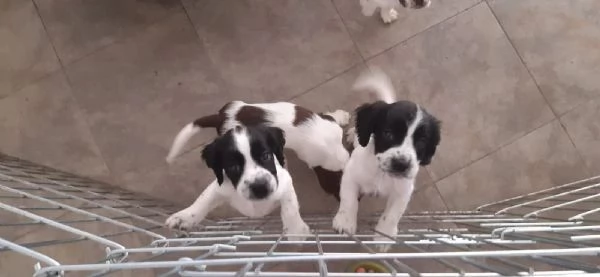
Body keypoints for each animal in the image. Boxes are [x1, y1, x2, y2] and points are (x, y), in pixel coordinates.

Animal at [166, 125, 312, 239]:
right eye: (233, 166)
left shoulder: (285, 182)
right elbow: (203, 199)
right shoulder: (220, 186)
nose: (260, 187)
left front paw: (295, 230)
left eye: (266, 156)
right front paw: (184, 216)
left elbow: (289, 207)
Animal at [332, 69, 440, 250]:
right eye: (388, 133)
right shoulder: (351, 175)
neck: (381, 174)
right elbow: (349, 200)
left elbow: (392, 215)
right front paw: (345, 222)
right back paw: (353, 133)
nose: (401, 164)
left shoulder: (404, 190)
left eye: (421, 141)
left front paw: (384, 235)